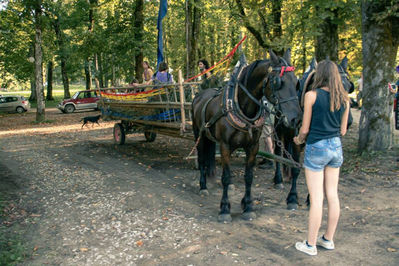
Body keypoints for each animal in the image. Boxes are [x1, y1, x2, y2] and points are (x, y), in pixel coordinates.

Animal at [192, 49, 302, 222]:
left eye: (296, 83)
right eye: (277, 82)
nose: (296, 119)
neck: (241, 108)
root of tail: (199, 95)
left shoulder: (252, 146)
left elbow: (249, 176)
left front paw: (248, 206)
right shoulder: (224, 146)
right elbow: (226, 176)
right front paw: (224, 209)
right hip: (200, 136)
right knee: (202, 160)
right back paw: (203, 186)